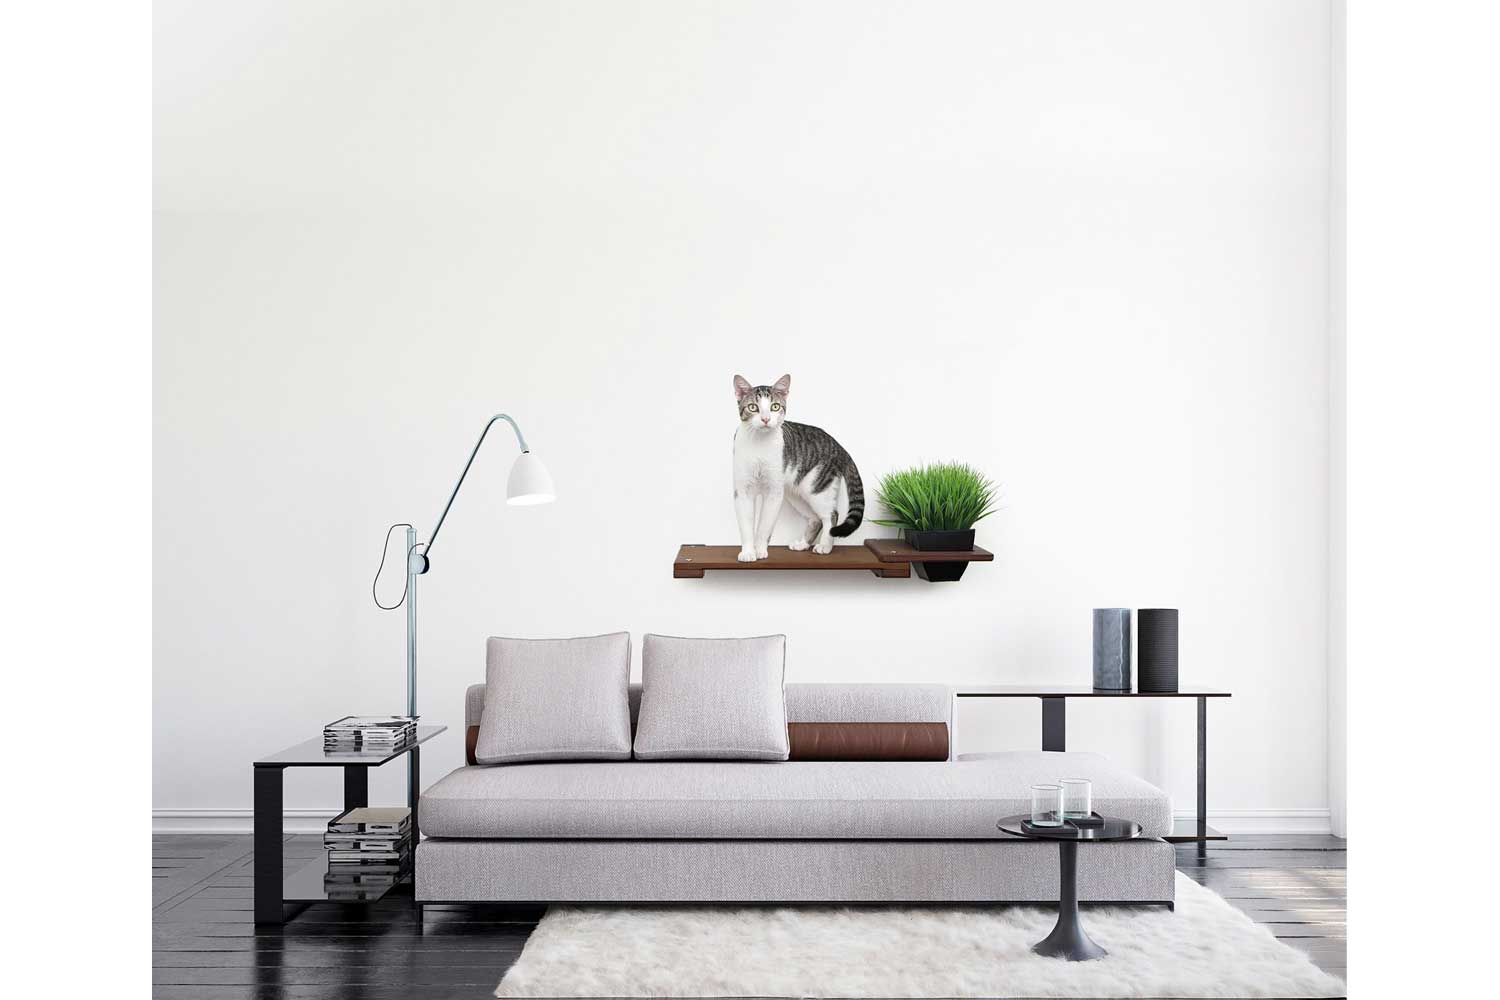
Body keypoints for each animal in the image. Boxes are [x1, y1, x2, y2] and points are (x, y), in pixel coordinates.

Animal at [729, 374, 864, 563]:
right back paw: (802, 544)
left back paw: (825, 546)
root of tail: (838, 445)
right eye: (753, 407)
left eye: (775, 406)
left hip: (817, 488)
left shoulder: (774, 492)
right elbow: (746, 526)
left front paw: (760, 550)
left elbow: (764, 526)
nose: (765, 419)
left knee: (831, 515)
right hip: (796, 493)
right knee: (815, 518)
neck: (759, 445)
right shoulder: (743, 491)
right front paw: (748, 552)